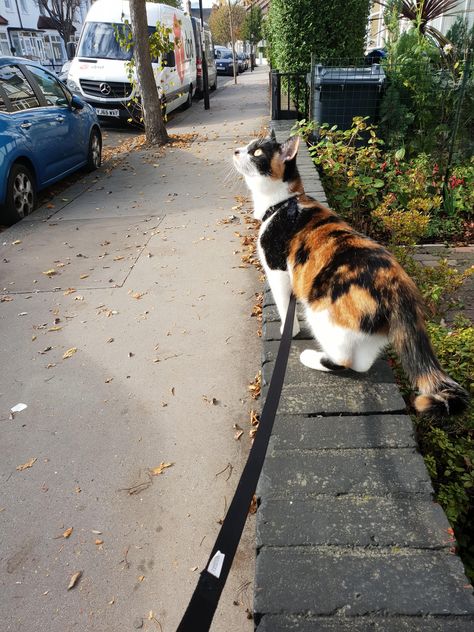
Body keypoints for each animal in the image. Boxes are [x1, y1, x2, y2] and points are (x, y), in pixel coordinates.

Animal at [231, 131, 468, 418]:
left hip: (323, 313)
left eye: (256, 152)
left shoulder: (276, 269)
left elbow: (283, 303)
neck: (282, 204)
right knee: (362, 363)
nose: (236, 151)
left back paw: (309, 357)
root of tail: (399, 287)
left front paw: (291, 328)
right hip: (373, 330)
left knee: (343, 359)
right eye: (247, 146)